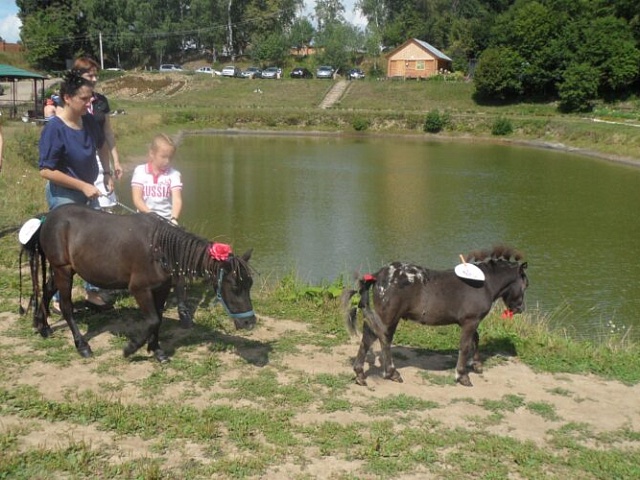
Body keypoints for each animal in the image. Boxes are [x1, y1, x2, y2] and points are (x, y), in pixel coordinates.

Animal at [25, 202, 255, 360]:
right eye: (235, 286)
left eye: (249, 285)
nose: (249, 323)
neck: (160, 249)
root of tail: (49, 217)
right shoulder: (139, 289)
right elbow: (152, 320)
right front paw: (131, 348)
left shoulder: (161, 288)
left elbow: (158, 319)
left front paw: (156, 350)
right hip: (63, 270)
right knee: (66, 307)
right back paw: (82, 346)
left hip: (64, 271)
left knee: (46, 291)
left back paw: (42, 326)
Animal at [342, 248, 528, 386]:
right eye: (525, 284)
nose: (520, 308)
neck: (483, 283)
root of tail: (378, 275)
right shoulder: (470, 321)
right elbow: (465, 345)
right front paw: (462, 376)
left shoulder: (470, 322)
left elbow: (475, 339)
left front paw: (476, 365)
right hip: (388, 317)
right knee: (377, 339)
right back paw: (388, 373)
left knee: (373, 338)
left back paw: (363, 374)